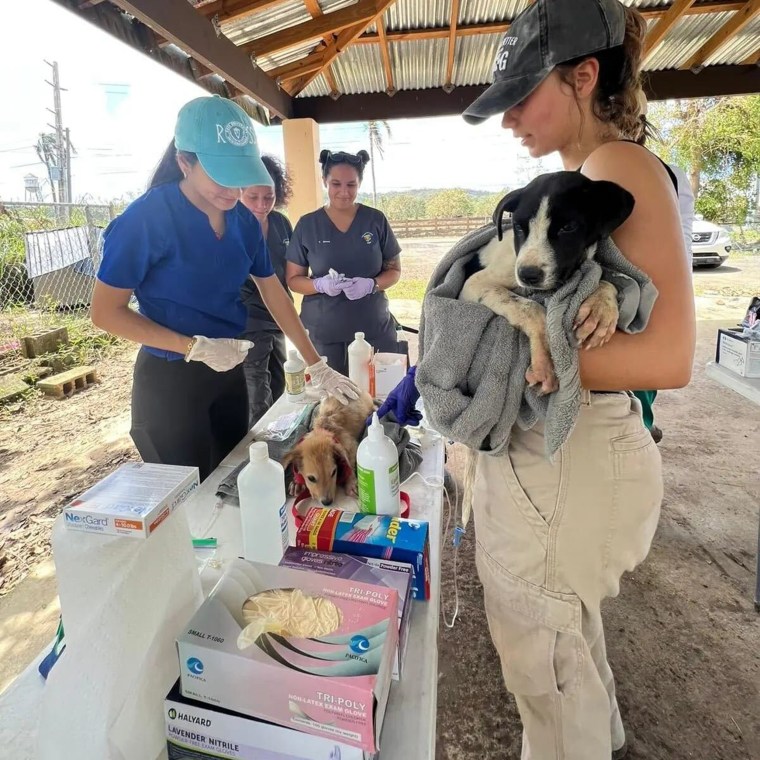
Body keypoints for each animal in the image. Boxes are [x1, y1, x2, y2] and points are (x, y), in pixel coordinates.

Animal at [464, 171, 636, 394]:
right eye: (518, 226)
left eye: (568, 227)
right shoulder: (473, 284)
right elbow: (530, 307)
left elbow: (604, 280)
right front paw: (545, 360)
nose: (527, 275)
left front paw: (599, 310)